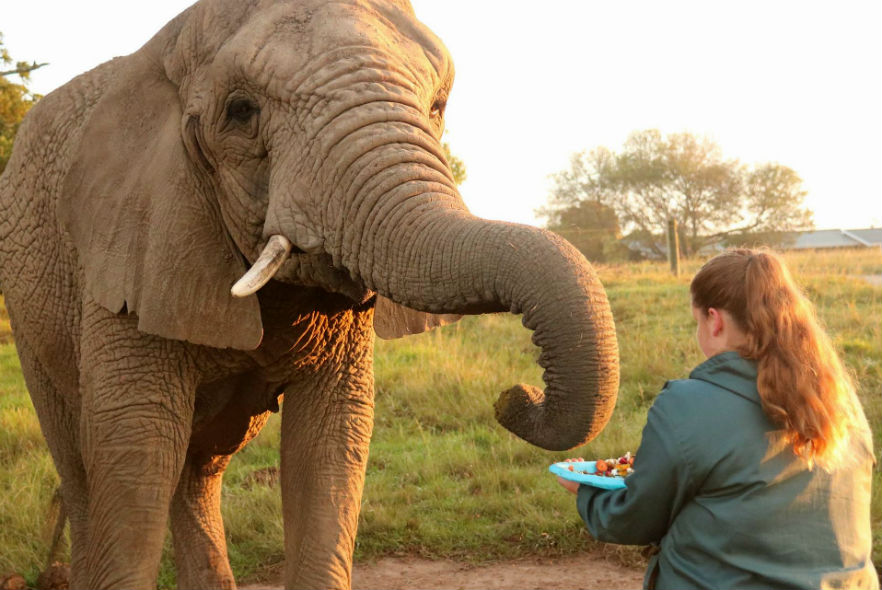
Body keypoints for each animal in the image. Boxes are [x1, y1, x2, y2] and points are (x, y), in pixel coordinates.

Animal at [0, 0, 620, 588]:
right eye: (240, 112)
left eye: (438, 107)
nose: (514, 397)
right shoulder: (130, 242)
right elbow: (135, 452)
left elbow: (329, 442)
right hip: (29, 321)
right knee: (85, 470)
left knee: (199, 466)